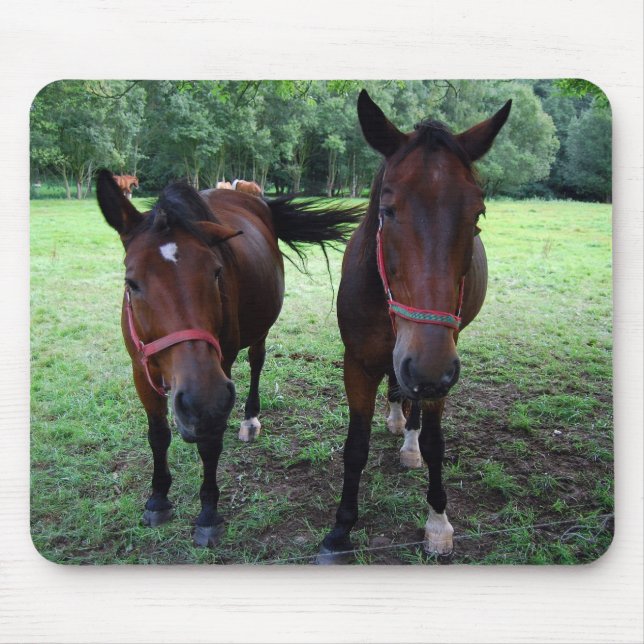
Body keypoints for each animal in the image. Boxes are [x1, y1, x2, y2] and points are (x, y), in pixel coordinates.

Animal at [96, 170, 361, 547]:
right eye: (131, 282)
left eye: (216, 272)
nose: (200, 399)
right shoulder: (140, 368)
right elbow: (158, 435)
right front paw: (158, 499)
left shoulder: (220, 373)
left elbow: (210, 442)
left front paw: (208, 514)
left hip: (259, 329)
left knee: (257, 361)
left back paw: (250, 418)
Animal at [319, 90, 511, 561]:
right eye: (387, 210)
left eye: (477, 213)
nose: (427, 368)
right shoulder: (358, 363)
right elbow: (355, 447)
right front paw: (340, 530)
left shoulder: (442, 365)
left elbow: (436, 444)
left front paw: (437, 521)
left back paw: (408, 442)